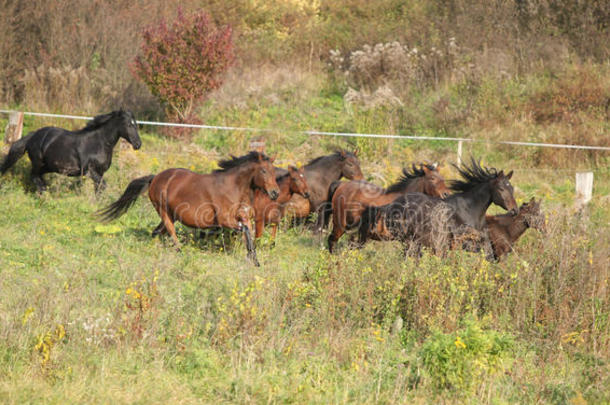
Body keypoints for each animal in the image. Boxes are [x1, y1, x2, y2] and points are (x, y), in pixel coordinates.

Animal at [1, 109, 141, 193]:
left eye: (136, 124)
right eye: (129, 125)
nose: (138, 144)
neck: (99, 143)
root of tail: (33, 135)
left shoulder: (100, 172)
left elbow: (99, 189)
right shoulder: (91, 171)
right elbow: (103, 186)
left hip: (49, 166)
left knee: (38, 177)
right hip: (38, 162)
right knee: (34, 176)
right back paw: (44, 196)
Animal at [98, 151, 280, 266]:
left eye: (274, 170)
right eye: (264, 170)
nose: (275, 193)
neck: (234, 187)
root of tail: (155, 178)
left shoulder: (243, 218)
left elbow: (249, 233)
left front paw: (253, 258)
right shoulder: (224, 220)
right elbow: (246, 231)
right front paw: (252, 259)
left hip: (171, 214)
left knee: (156, 232)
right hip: (164, 212)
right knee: (170, 231)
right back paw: (180, 251)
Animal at [358, 156, 516, 258]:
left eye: (512, 188)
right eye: (501, 188)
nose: (514, 210)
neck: (469, 210)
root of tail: (393, 204)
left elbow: (488, 253)